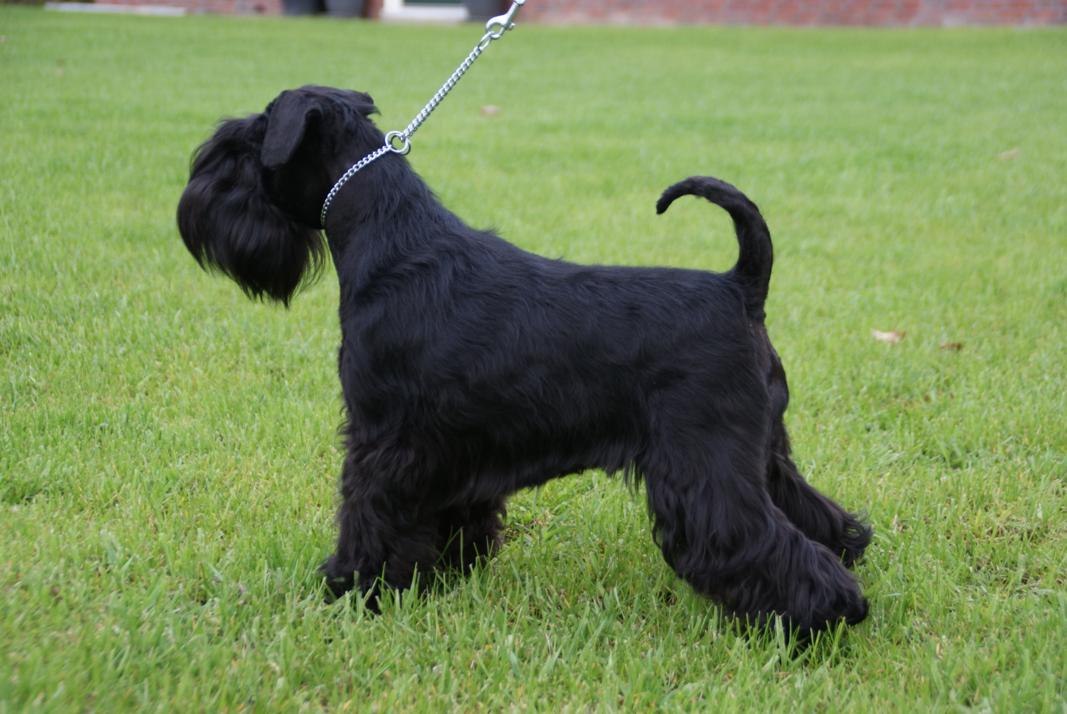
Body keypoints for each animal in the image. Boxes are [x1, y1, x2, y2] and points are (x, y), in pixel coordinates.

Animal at [179, 86, 870, 631]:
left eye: (240, 149)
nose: (193, 206)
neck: (389, 240)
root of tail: (739, 286)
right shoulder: (446, 447)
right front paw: (444, 575)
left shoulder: (382, 440)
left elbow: (368, 515)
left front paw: (353, 587)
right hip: (762, 451)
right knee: (815, 516)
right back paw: (848, 560)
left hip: (708, 464)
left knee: (758, 538)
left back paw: (823, 615)